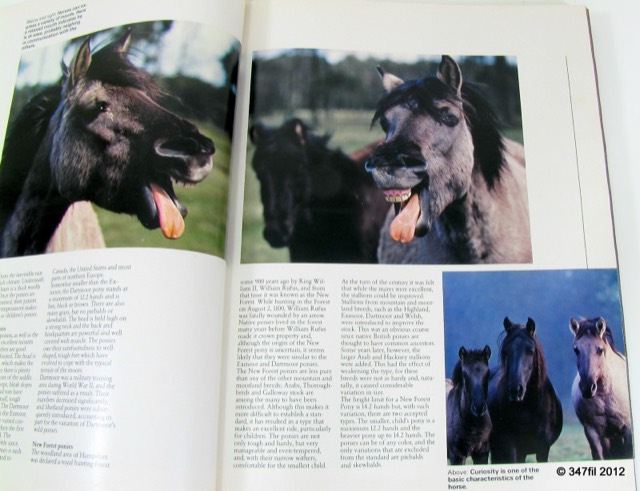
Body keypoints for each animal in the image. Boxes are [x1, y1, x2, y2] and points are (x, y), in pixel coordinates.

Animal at [487, 317, 563, 463]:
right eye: (505, 351)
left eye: (530, 351)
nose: (514, 390)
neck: (529, 406)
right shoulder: (509, 447)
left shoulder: (543, 448)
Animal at [569, 317, 633, 459]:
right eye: (576, 350)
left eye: (600, 350)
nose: (587, 388)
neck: (605, 394)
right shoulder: (592, 431)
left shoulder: (627, 430)